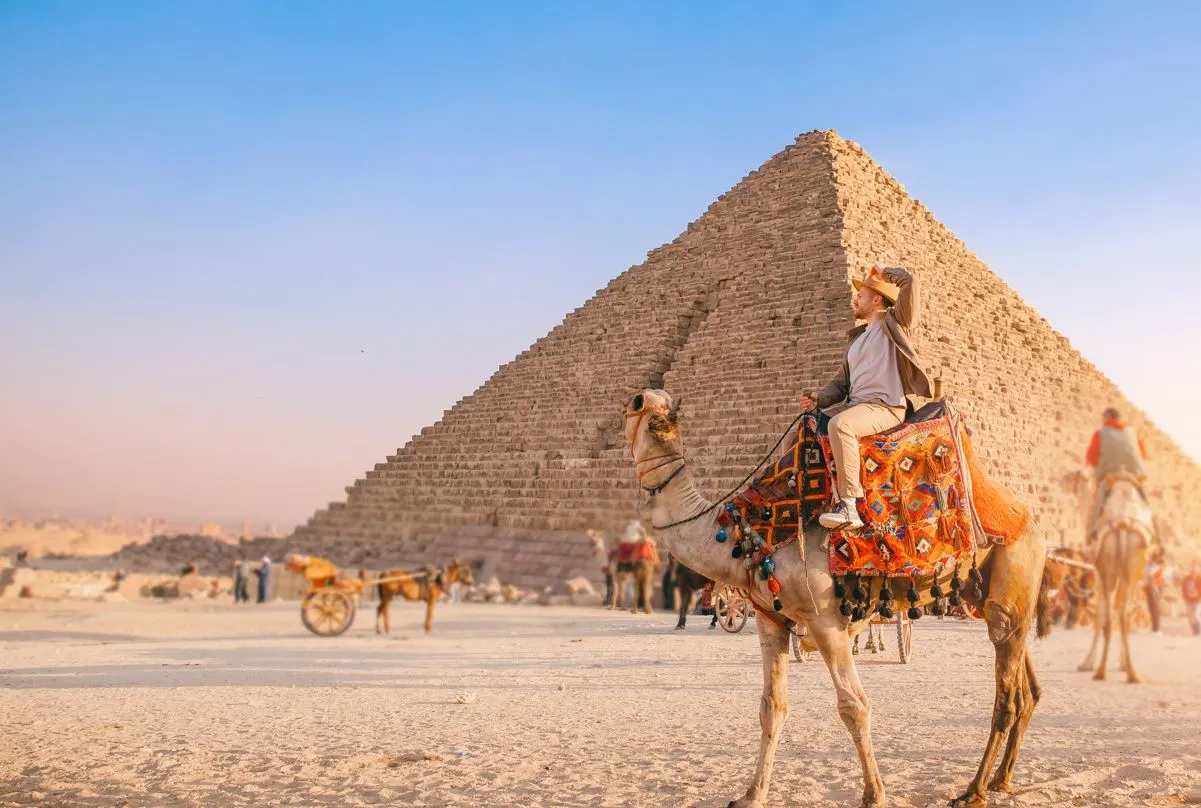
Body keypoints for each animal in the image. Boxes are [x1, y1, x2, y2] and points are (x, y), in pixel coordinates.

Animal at [624, 389, 1046, 808]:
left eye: (638, 406)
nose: (645, 398)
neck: (745, 534)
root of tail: (1028, 517)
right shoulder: (770, 620)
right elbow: (772, 708)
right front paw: (751, 795)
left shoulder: (825, 619)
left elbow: (854, 706)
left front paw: (874, 795)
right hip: (989, 595)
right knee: (1027, 691)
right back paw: (1001, 780)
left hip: (1012, 574)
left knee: (1008, 697)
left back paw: (974, 790)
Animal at [1076, 474, 1152, 683]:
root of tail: (1123, 523)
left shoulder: (1097, 571)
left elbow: (1099, 615)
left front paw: (1087, 663)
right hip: (1130, 568)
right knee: (1122, 614)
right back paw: (1129, 673)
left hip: (1111, 567)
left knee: (1112, 615)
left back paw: (1103, 670)